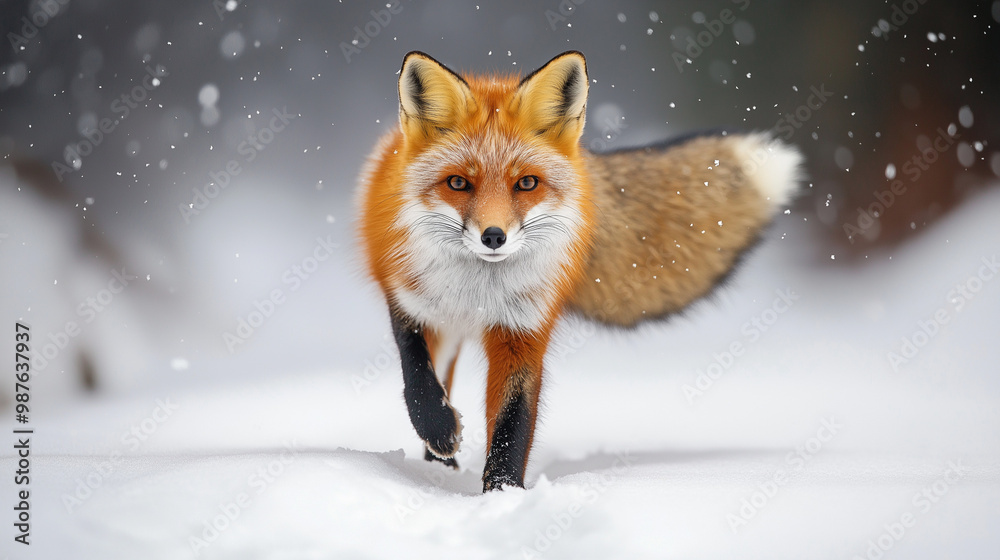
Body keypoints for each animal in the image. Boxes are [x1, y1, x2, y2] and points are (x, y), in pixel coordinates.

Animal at [355, 51, 803, 491]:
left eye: (527, 183)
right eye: (458, 183)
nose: (493, 236)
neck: (479, 292)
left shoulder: (523, 330)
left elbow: (512, 424)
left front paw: (503, 495)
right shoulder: (411, 304)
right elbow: (418, 381)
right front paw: (439, 430)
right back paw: (439, 464)